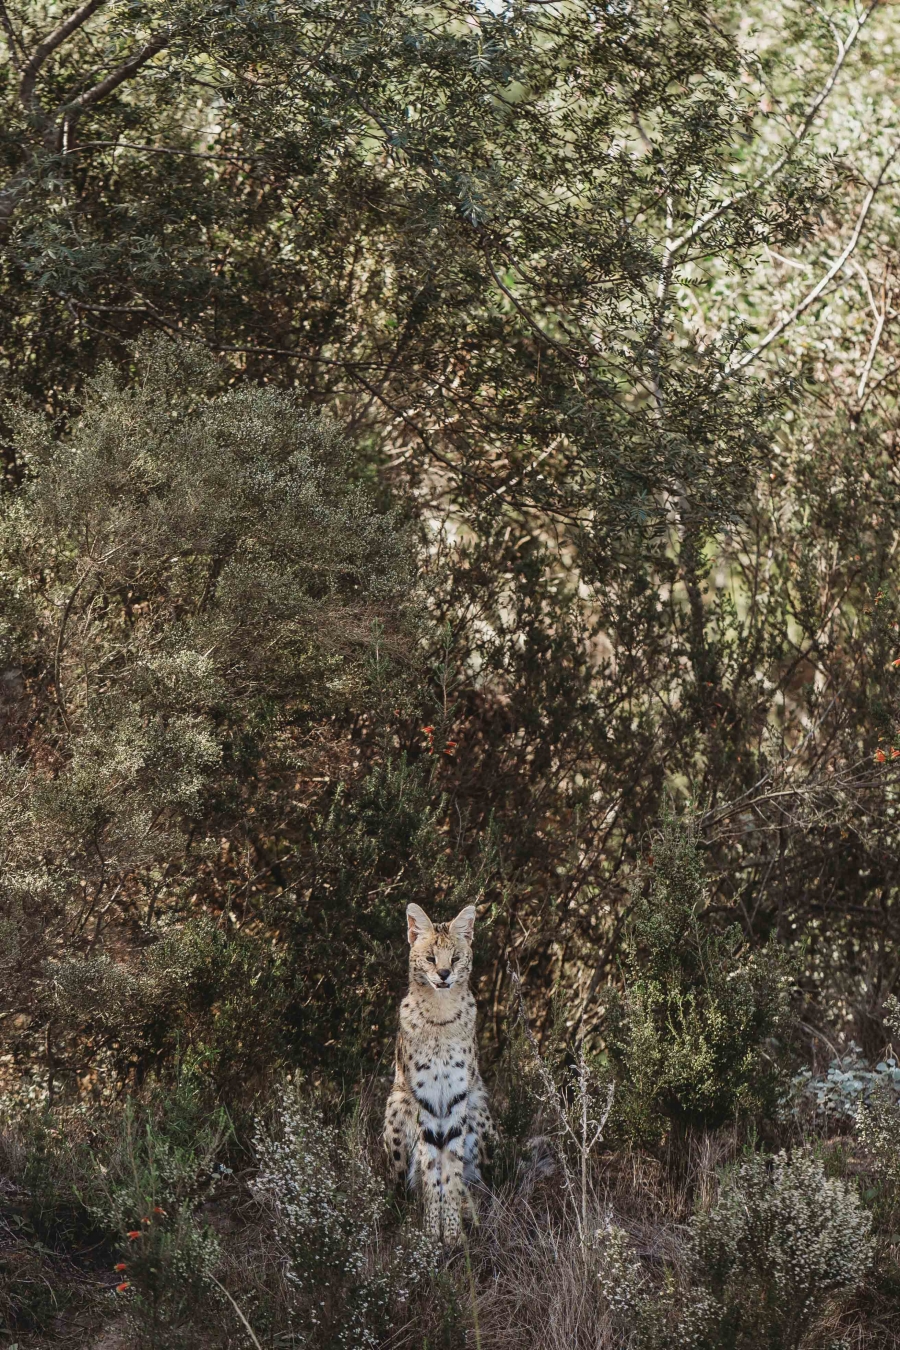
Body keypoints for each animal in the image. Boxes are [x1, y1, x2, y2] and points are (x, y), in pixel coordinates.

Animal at [383, 901, 496, 1236]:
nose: (444, 974)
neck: (441, 1015)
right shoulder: (426, 1100)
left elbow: (452, 1171)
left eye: (455, 957)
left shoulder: (458, 1098)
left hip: (479, 1107)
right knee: (401, 1187)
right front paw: (433, 1235)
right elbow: (432, 1170)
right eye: (431, 957)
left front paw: (454, 1233)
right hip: (397, 1105)